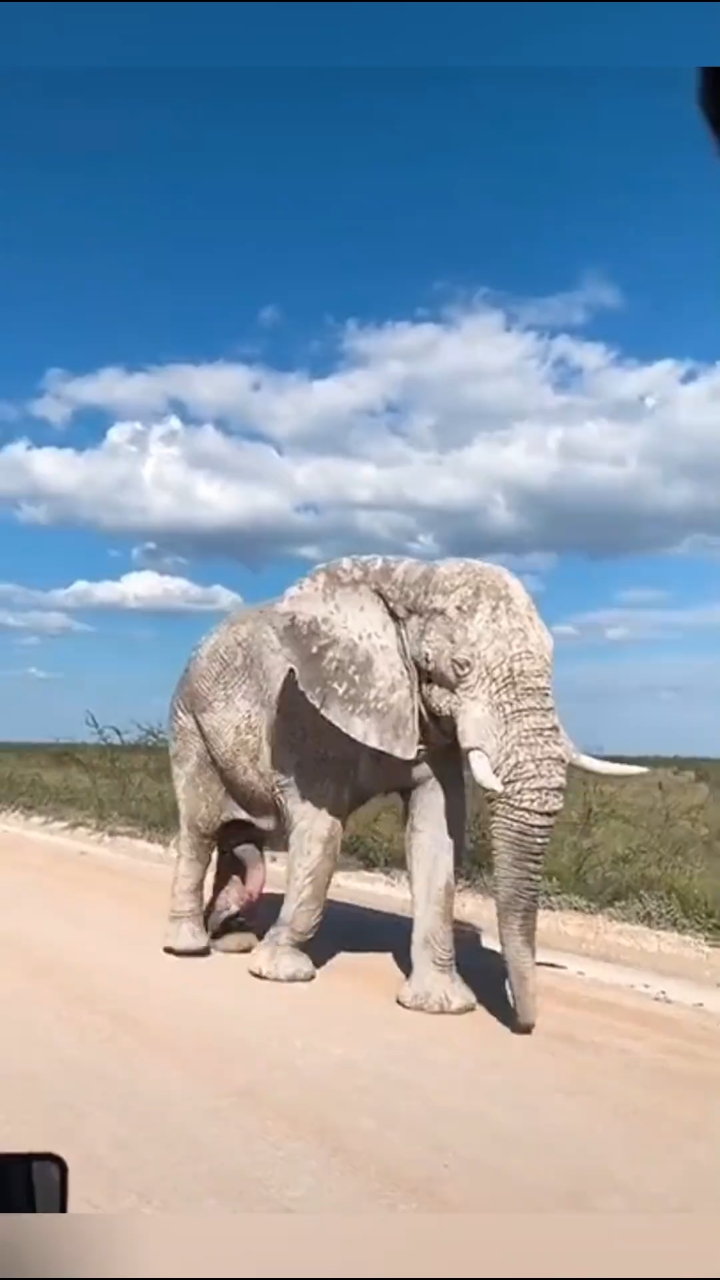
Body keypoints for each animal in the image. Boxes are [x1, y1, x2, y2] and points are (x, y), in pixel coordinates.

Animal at [163, 554, 647, 1033]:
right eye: (461, 665)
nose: (522, 1024)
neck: (414, 580)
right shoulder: (303, 708)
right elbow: (322, 834)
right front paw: (281, 972)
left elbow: (436, 836)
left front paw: (441, 1006)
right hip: (189, 723)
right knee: (201, 829)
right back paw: (189, 946)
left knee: (240, 837)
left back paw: (232, 939)